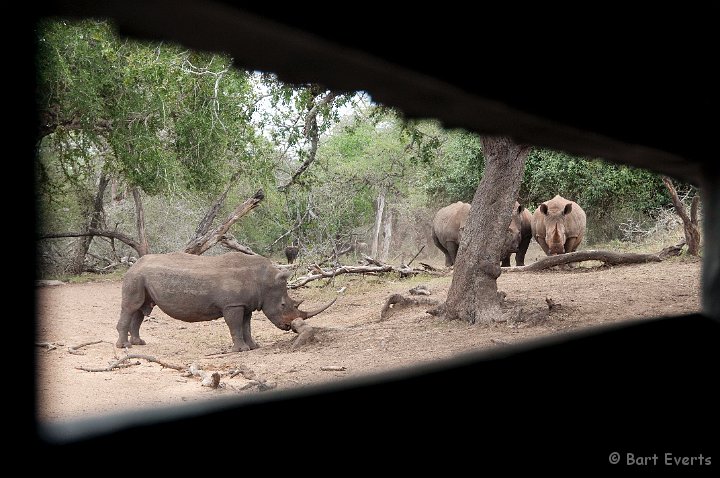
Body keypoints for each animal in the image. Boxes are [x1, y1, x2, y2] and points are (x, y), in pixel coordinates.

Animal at [114, 254, 334, 352]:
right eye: (282, 306)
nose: (290, 326)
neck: (264, 280)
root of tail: (134, 264)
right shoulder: (233, 305)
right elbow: (235, 326)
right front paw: (241, 350)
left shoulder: (245, 304)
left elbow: (247, 325)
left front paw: (253, 347)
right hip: (135, 276)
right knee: (131, 307)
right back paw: (124, 346)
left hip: (141, 277)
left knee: (141, 309)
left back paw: (139, 343)